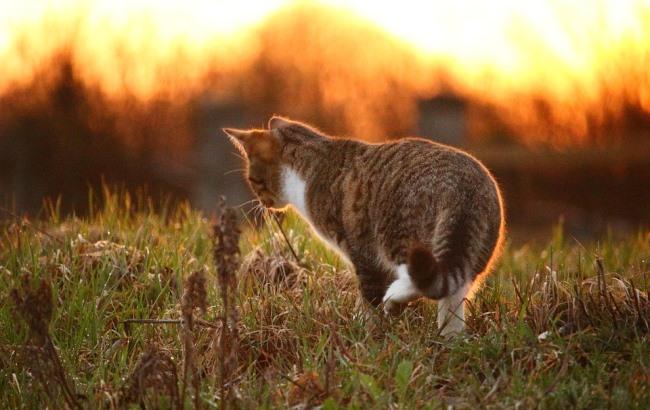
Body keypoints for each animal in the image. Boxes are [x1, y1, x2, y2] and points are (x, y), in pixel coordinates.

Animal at [221, 117, 502, 334]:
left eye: (253, 180)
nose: (262, 204)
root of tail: (462, 192)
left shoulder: (362, 253)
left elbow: (368, 301)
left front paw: (364, 332)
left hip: (399, 237)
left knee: (417, 279)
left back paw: (394, 300)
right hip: (473, 253)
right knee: (452, 294)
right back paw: (449, 341)